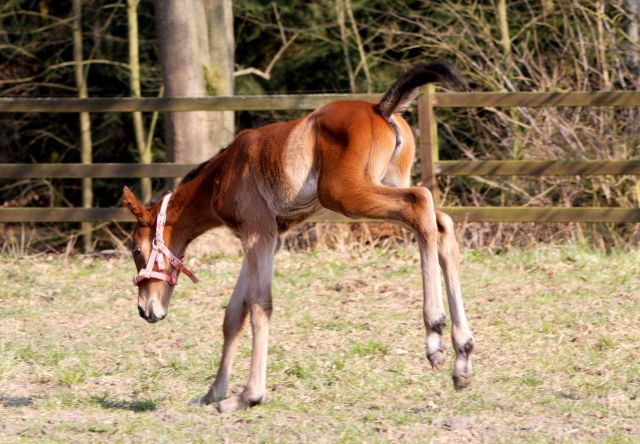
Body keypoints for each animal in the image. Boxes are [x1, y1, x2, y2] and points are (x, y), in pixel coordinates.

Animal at [124, 62, 476, 412]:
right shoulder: (263, 237)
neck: (222, 174)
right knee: (441, 223)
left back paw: (435, 333)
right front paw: (213, 393)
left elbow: (259, 305)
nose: (144, 309)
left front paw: (248, 395)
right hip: (386, 182)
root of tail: (381, 108)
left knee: (420, 203)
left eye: (136, 250)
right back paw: (462, 356)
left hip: (346, 194)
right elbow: (234, 313)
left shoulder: (258, 232)